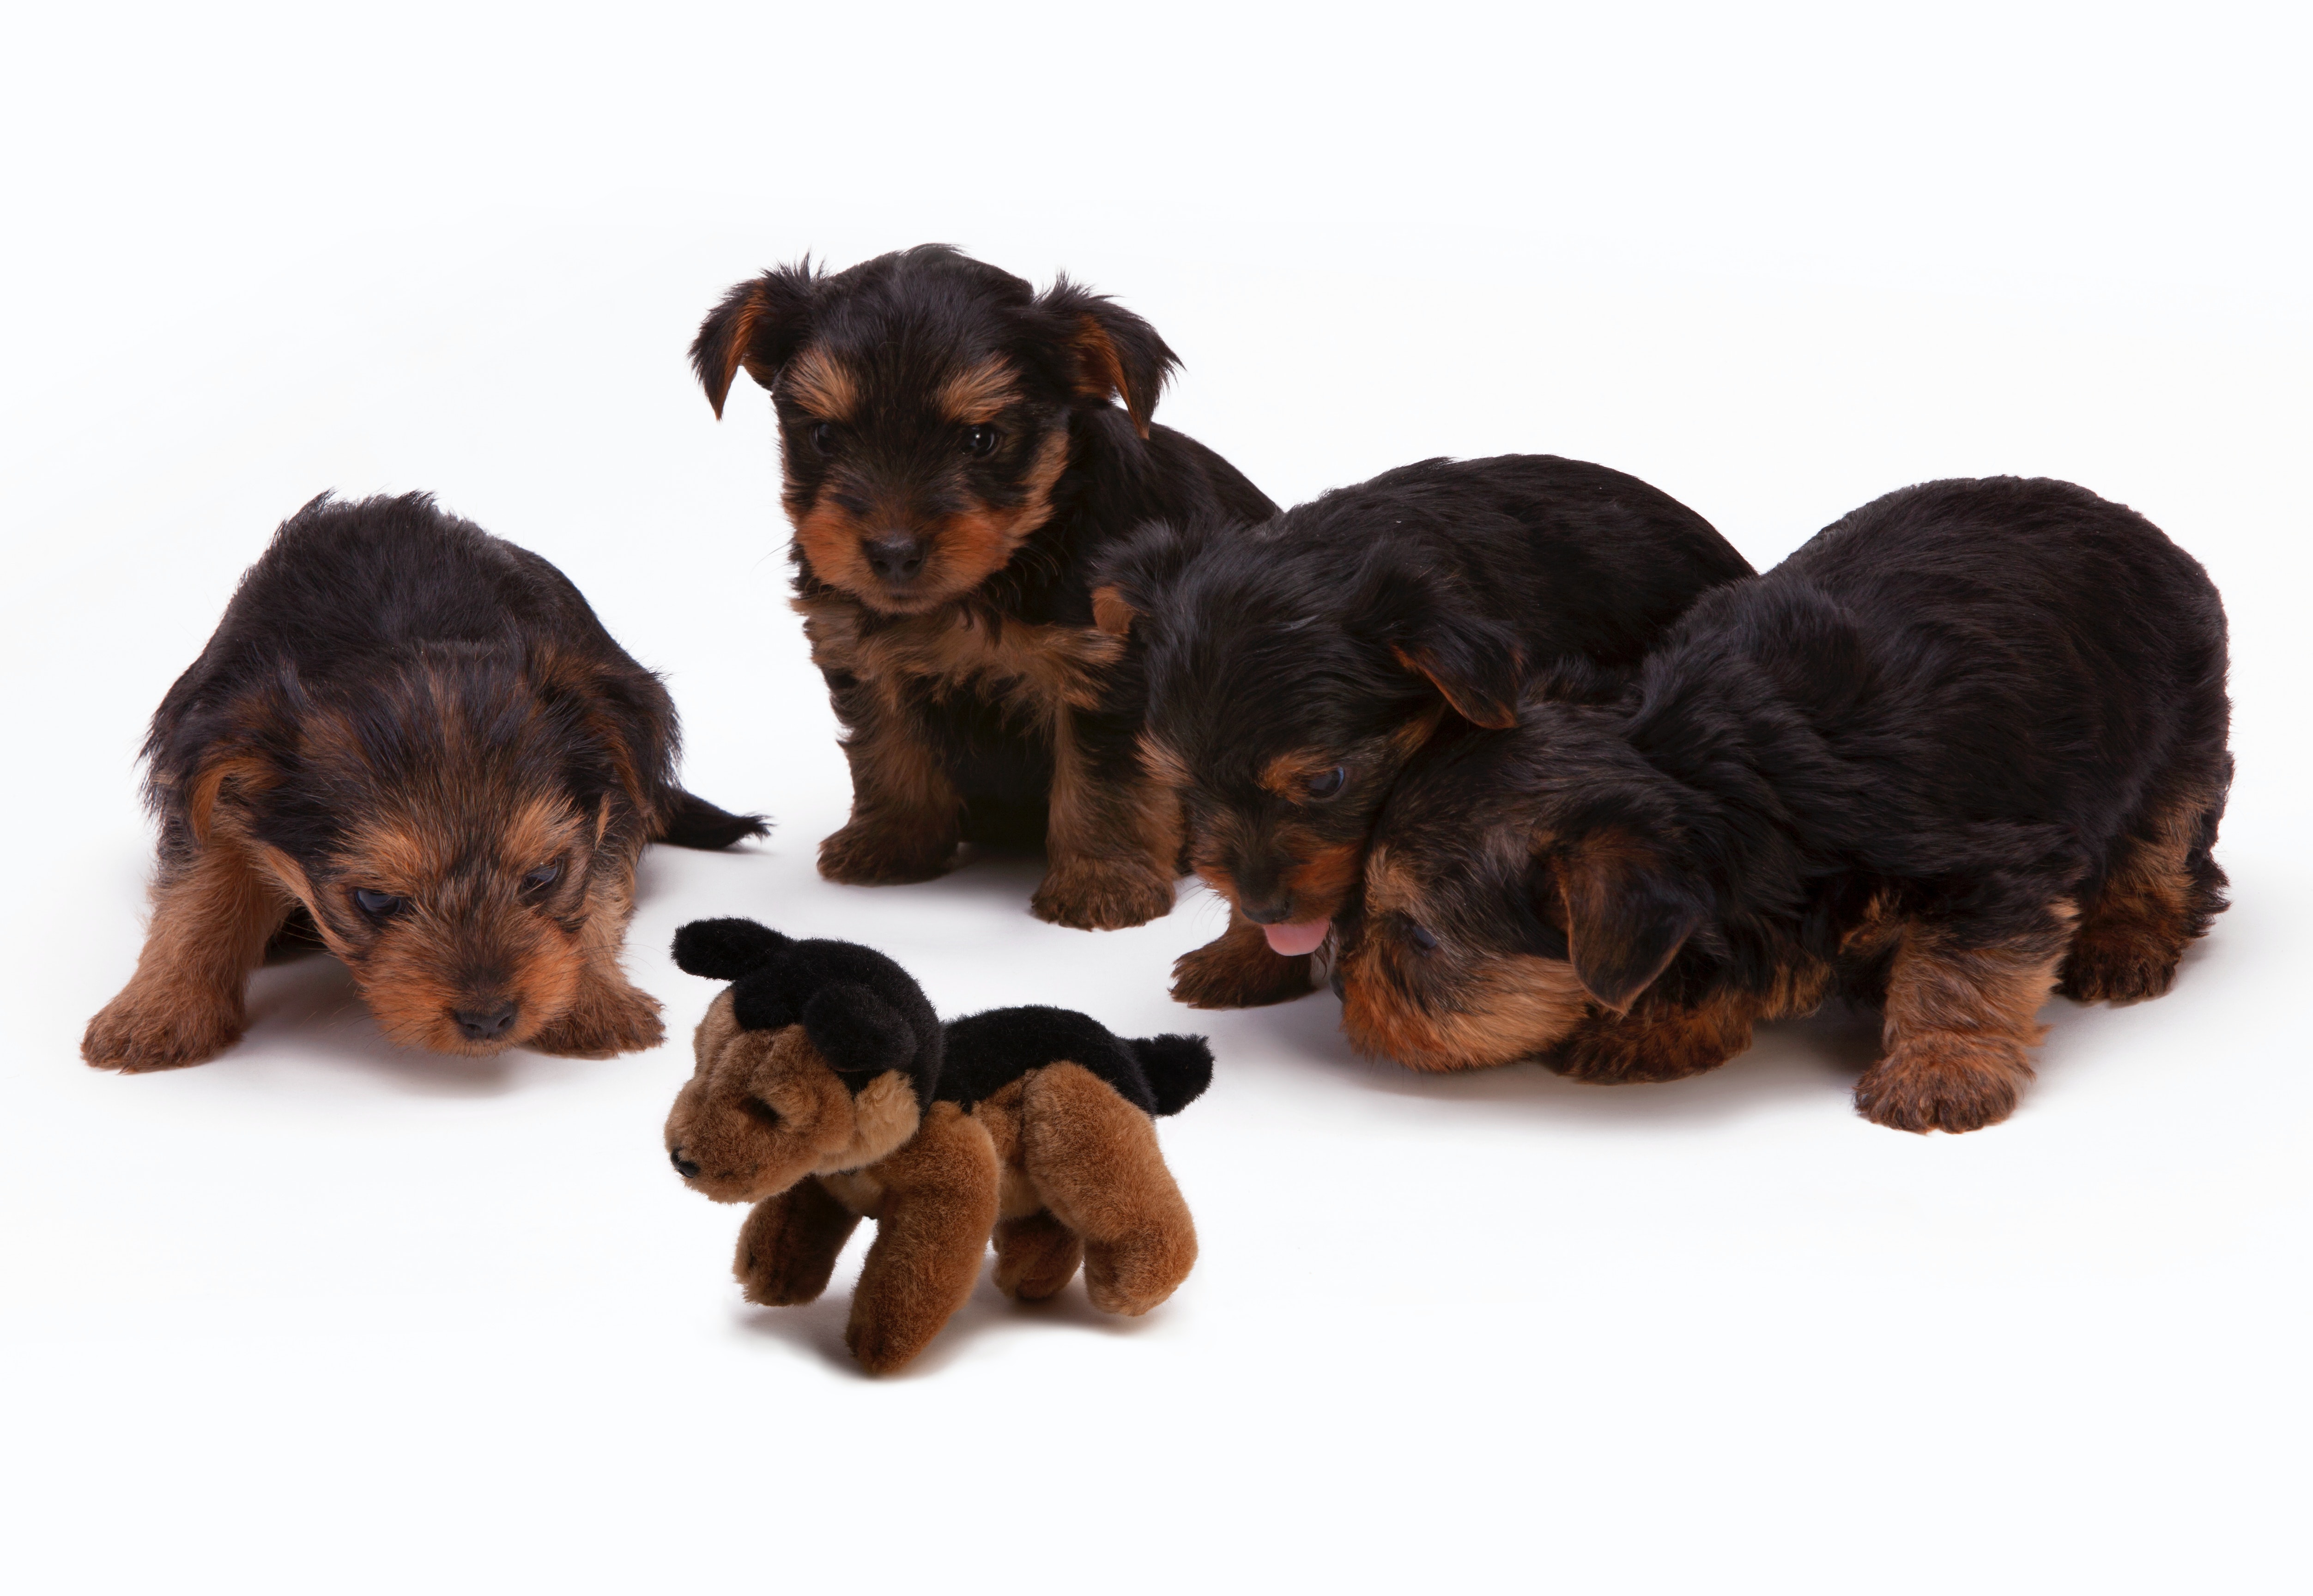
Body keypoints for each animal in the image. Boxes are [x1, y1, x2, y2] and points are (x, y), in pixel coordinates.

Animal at [79, 488, 768, 1069]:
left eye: (544, 876)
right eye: (375, 901)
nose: (489, 1020)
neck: (399, 629)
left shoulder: (612, 791)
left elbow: (598, 889)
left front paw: (595, 1000)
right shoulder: (213, 779)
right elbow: (196, 894)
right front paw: (159, 1011)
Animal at [671, 916, 1212, 1369]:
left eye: (770, 1109)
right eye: (701, 1063)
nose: (681, 1160)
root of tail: (1128, 1050)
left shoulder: (950, 1184)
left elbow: (915, 1273)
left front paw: (880, 1343)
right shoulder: (821, 1182)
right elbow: (790, 1222)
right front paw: (769, 1275)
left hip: (1077, 1117)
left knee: (1139, 1209)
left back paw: (1134, 1284)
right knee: (1047, 1222)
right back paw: (1030, 1276)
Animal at [694, 242, 1277, 925]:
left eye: (981, 440)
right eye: (824, 436)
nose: (893, 553)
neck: (991, 579)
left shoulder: (1109, 667)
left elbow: (1107, 780)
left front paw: (1103, 883)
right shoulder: (862, 653)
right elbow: (885, 750)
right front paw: (890, 843)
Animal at [1350, 476, 2229, 1133]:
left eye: (1418, 938)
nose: (1343, 978)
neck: (1702, 765)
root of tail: (2126, 518)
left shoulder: (1994, 868)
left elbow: (1961, 969)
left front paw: (1941, 1069)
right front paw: (1656, 1025)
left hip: (2182, 723)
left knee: (2165, 841)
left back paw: (2126, 939)